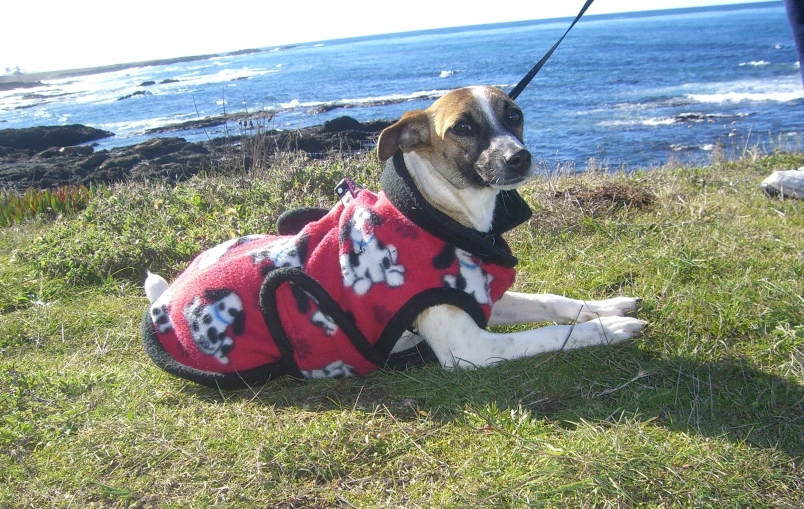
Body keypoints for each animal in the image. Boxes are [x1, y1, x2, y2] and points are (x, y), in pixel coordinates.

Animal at [141, 85, 644, 386]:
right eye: (463, 127)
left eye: (515, 115)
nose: (519, 157)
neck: (441, 214)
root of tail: (164, 301)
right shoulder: (470, 348)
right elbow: (550, 334)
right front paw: (607, 328)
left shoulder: (480, 299)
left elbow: (552, 303)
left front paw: (606, 307)